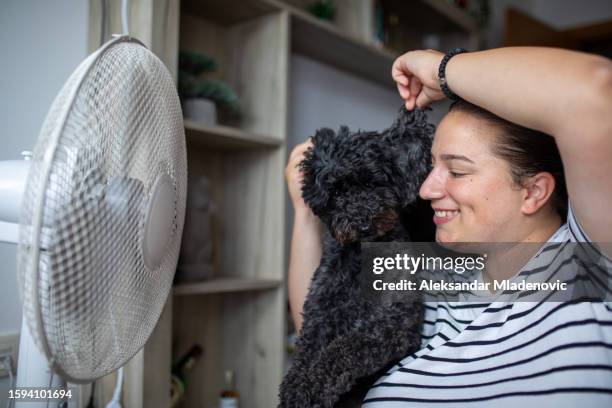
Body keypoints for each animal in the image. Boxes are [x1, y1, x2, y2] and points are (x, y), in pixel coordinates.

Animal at [280, 107, 438, 406]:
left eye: (374, 182)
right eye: (336, 191)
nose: (363, 223)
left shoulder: (395, 323)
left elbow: (345, 349)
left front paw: (316, 386)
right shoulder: (320, 313)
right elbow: (306, 352)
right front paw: (296, 388)